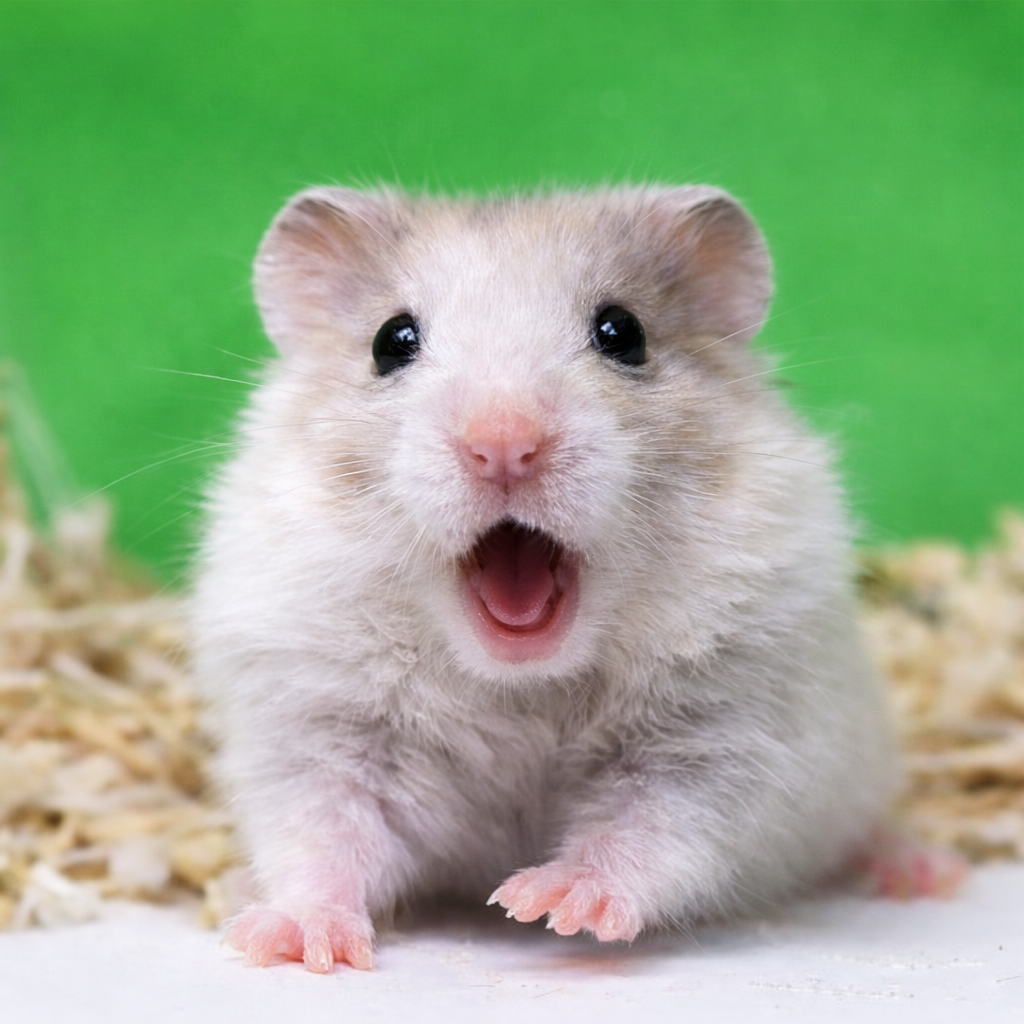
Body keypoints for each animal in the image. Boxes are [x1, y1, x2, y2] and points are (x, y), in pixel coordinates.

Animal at [193, 185, 902, 974]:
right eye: (390, 341)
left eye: (623, 333)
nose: (503, 443)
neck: (520, 684)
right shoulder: (319, 729)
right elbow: (325, 838)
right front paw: (294, 942)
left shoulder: (720, 733)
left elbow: (649, 827)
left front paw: (549, 901)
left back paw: (913, 869)